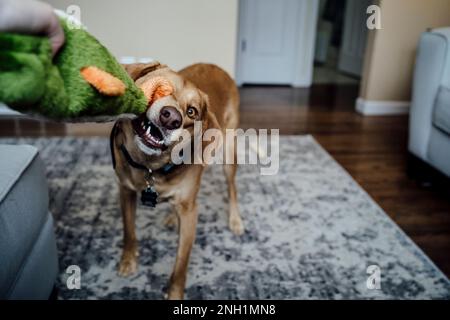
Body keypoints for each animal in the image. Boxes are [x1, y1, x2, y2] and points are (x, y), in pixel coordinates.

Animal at [110, 63, 244, 300]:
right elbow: (129, 232)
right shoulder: (125, 191)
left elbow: (181, 263)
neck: (150, 166)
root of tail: (216, 66)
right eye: (160, 88)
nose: (171, 117)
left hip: (229, 154)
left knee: (232, 189)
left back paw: (235, 220)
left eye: (191, 111)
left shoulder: (190, 213)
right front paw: (128, 261)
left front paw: (174, 294)